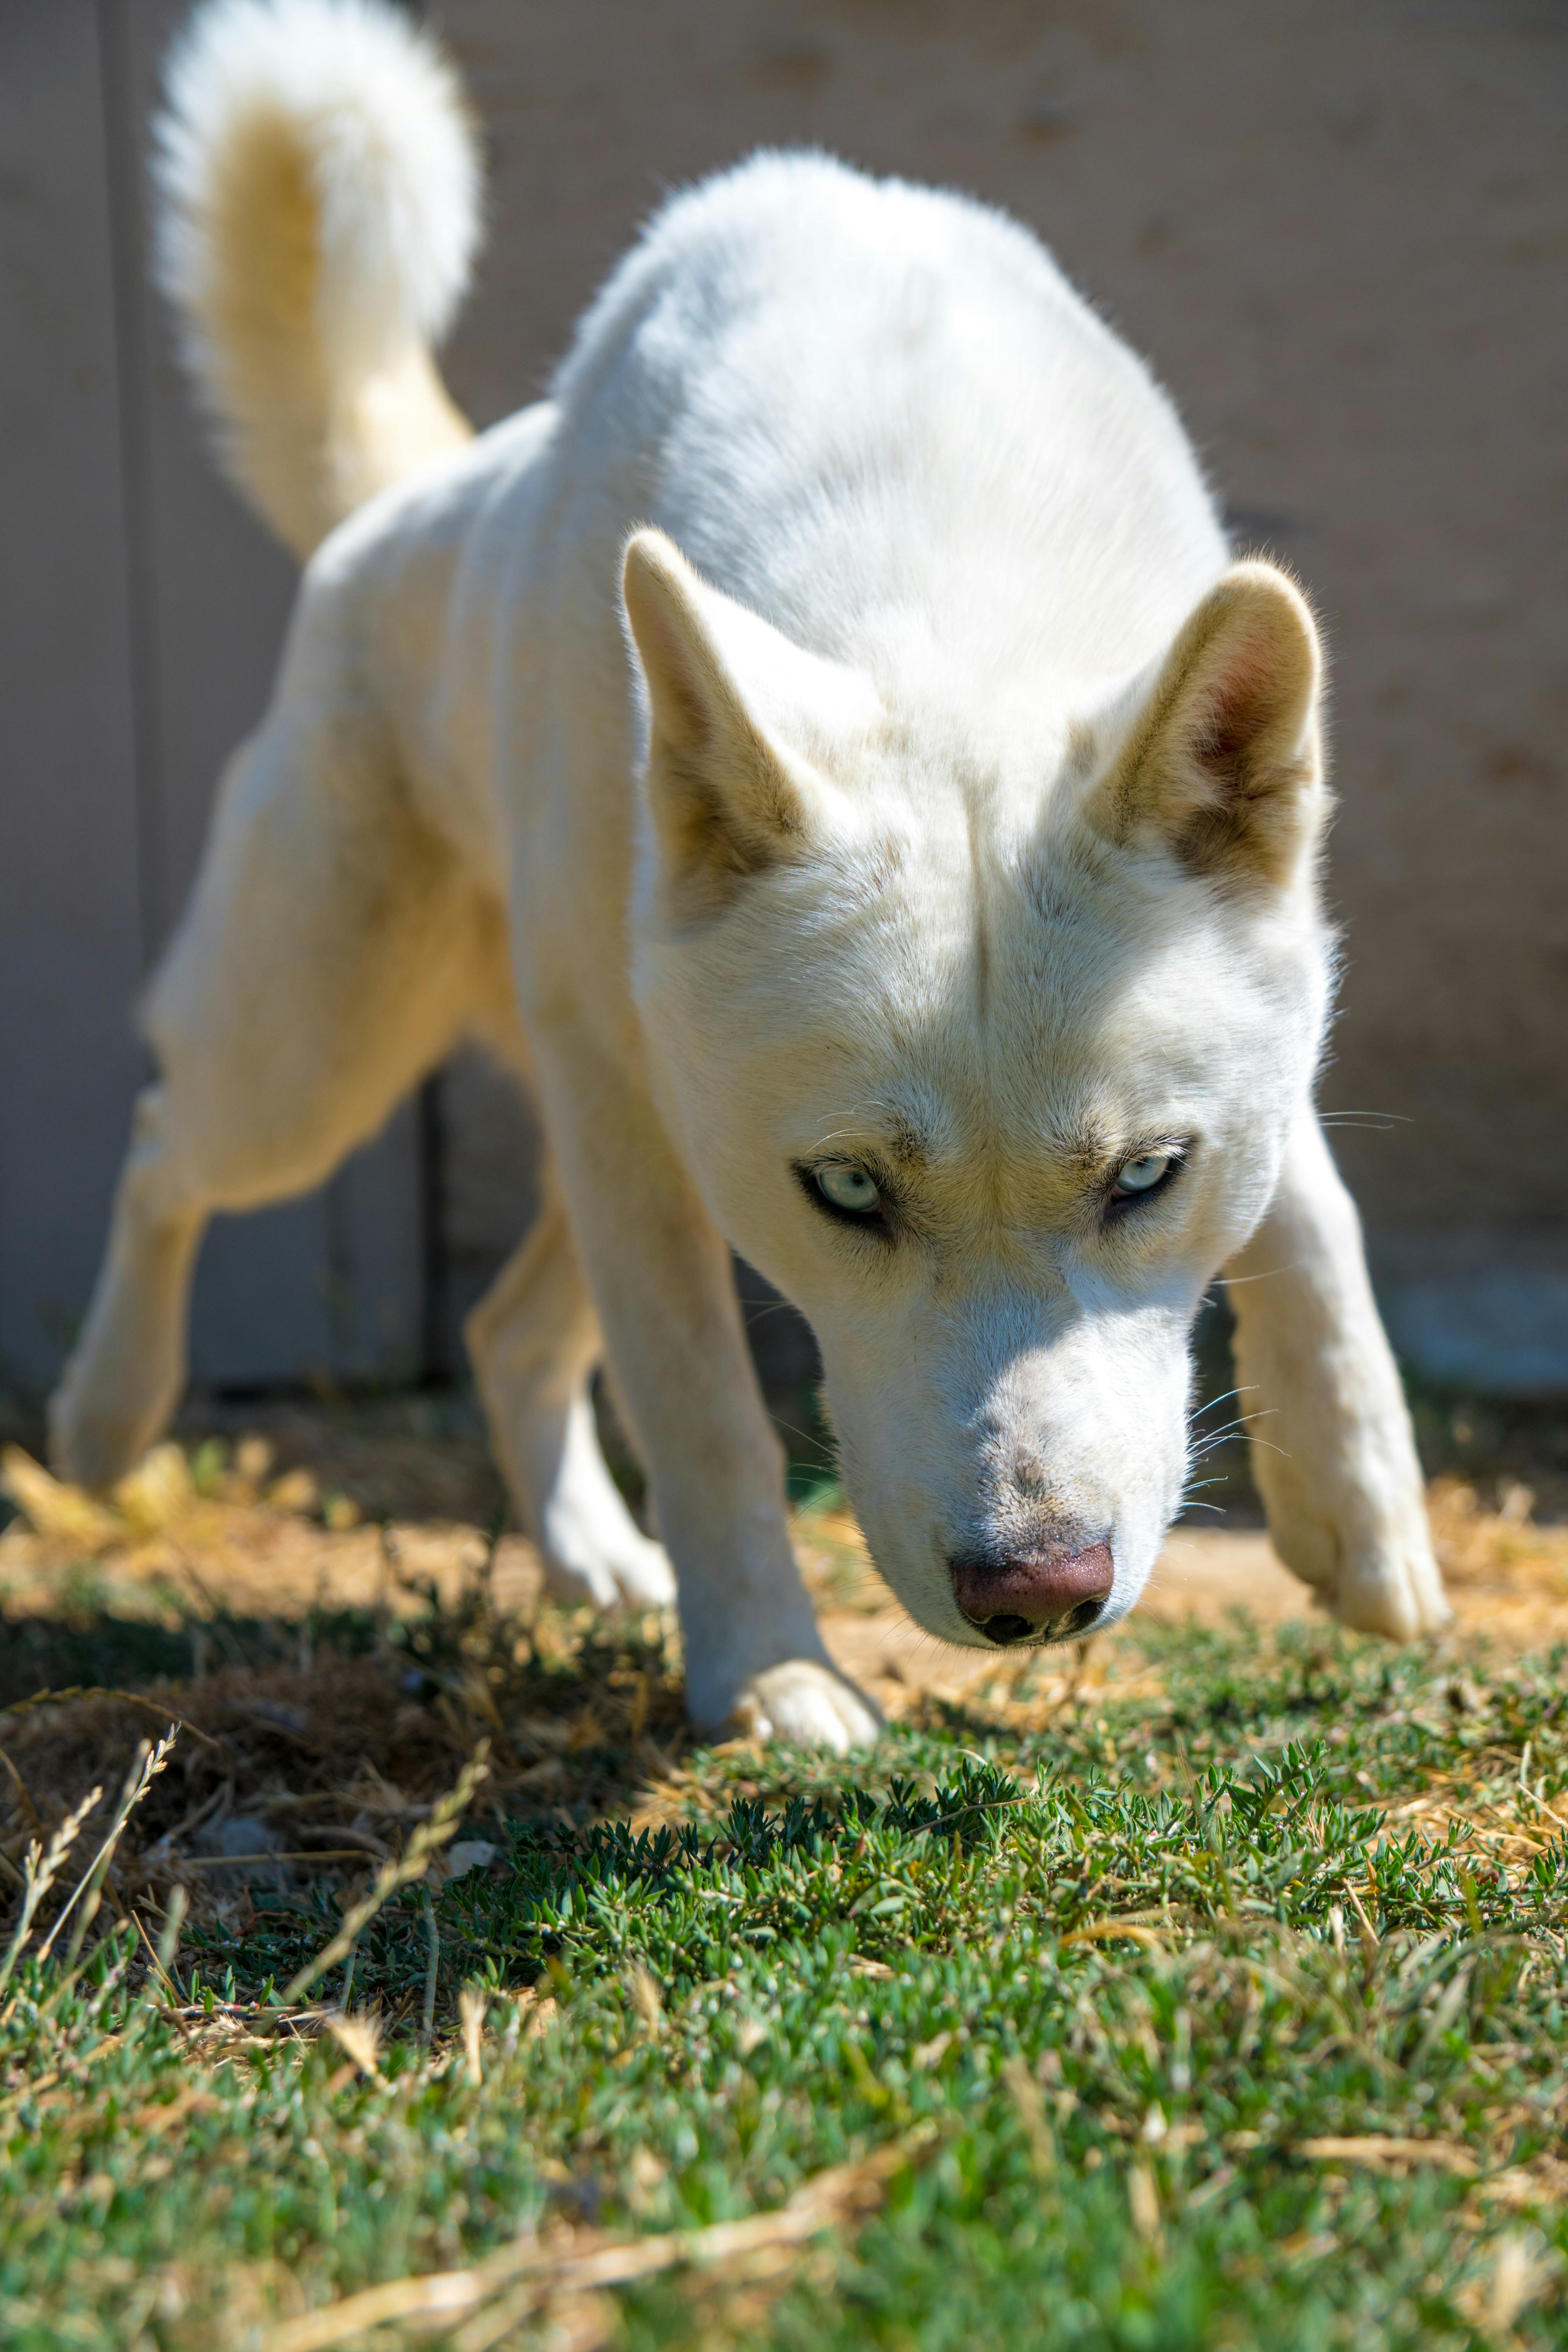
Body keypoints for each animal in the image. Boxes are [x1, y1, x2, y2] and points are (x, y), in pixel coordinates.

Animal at [49, 0, 1448, 1750]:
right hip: (330, 1057)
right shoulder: (646, 1136)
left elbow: (1312, 1207)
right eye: (846, 1192)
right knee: (168, 1147)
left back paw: (590, 1559)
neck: (937, 579)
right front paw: (775, 1678)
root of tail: (410, 505)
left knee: (503, 1331)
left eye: (1146, 1177)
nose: (1036, 1600)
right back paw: (103, 1422)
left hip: (581, 1104)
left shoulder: (1254, 1029)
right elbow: (705, 1408)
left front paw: (1362, 1514)